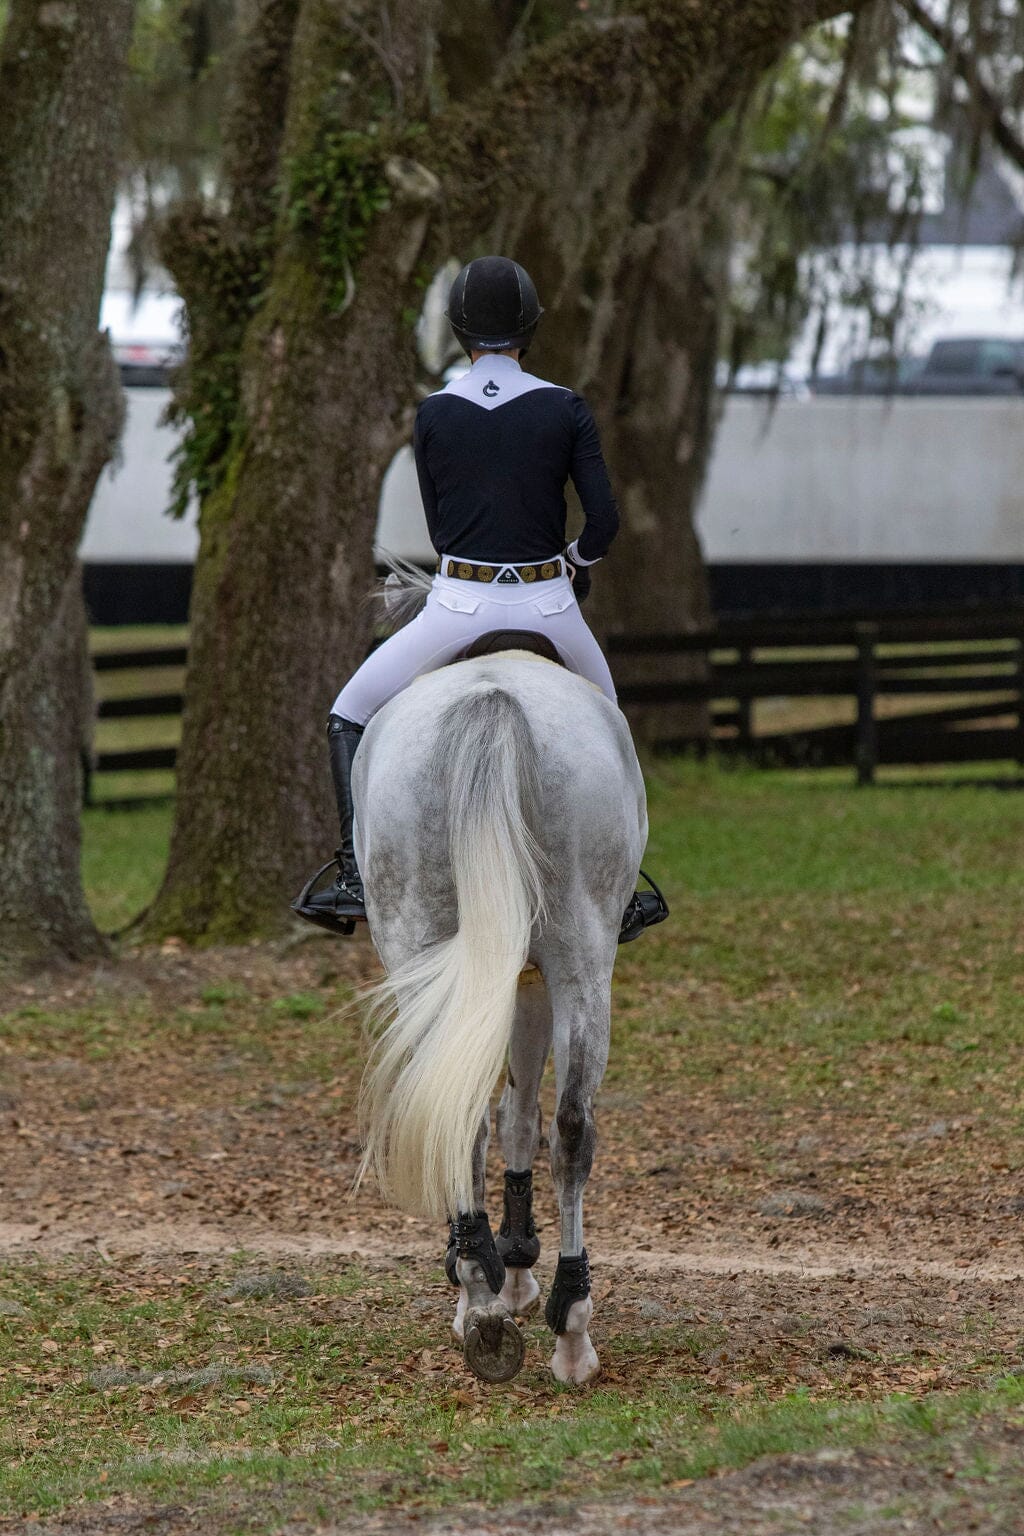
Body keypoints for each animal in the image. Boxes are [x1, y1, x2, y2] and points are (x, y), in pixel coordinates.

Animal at [348, 611, 644, 1394]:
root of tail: (493, 698)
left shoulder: (510, 977)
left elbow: (505, 1112)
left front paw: (497, 1271)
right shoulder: (530, 977)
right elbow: (523, 1114)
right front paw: (514, 1269)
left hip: (432, 950)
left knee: (465, 1112)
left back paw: (482, 1305)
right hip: (579, 957)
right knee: (571, 1126)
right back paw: (569, 1328)